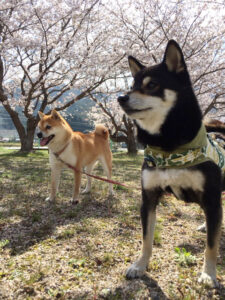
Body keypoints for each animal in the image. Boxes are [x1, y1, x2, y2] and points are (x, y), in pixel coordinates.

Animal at [118, 39, 224, 286]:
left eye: (152, 85)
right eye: (132, 86)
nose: (121, 97)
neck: (169, 149)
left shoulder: (211, 198)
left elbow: (211, 245)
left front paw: (208, 274)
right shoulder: (148, 197)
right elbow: (146, 239)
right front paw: (140, 266)